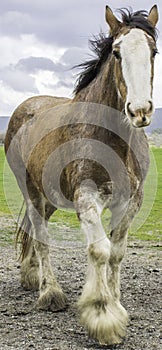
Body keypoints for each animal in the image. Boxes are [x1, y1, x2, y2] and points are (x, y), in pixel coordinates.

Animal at [4, 4, 158, 344]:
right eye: (116, 53)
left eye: (153, 51)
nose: (139, 111)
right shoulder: (87, 198)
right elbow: (99, 250)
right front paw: (103, 316)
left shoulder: (131, 203)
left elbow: (116, 253)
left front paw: (115, 302)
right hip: (31, 191)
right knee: (41, 236)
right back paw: (50, 293)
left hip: (49, 195)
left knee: (36, 232)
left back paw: (31, 276)